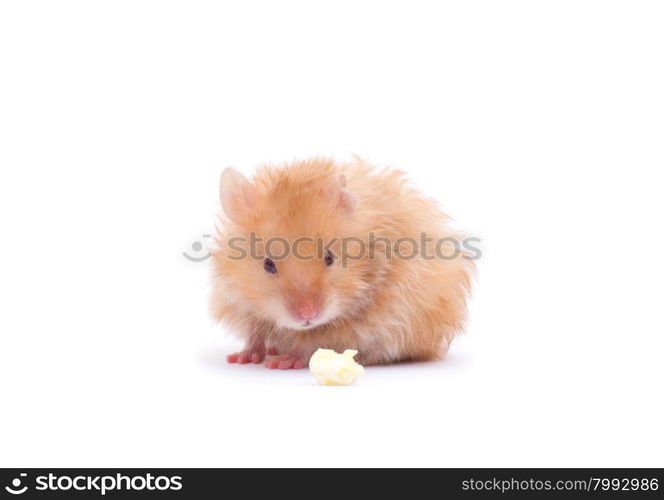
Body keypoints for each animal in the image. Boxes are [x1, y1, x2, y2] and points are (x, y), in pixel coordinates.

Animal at [210, 158, 474, 370]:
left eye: (330, 257)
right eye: (268, 264)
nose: (308, 315)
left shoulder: (362, 323)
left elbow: (313, 342)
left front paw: (282, 362)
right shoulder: (240, 303)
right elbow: (255, 331)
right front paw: (241, 358)